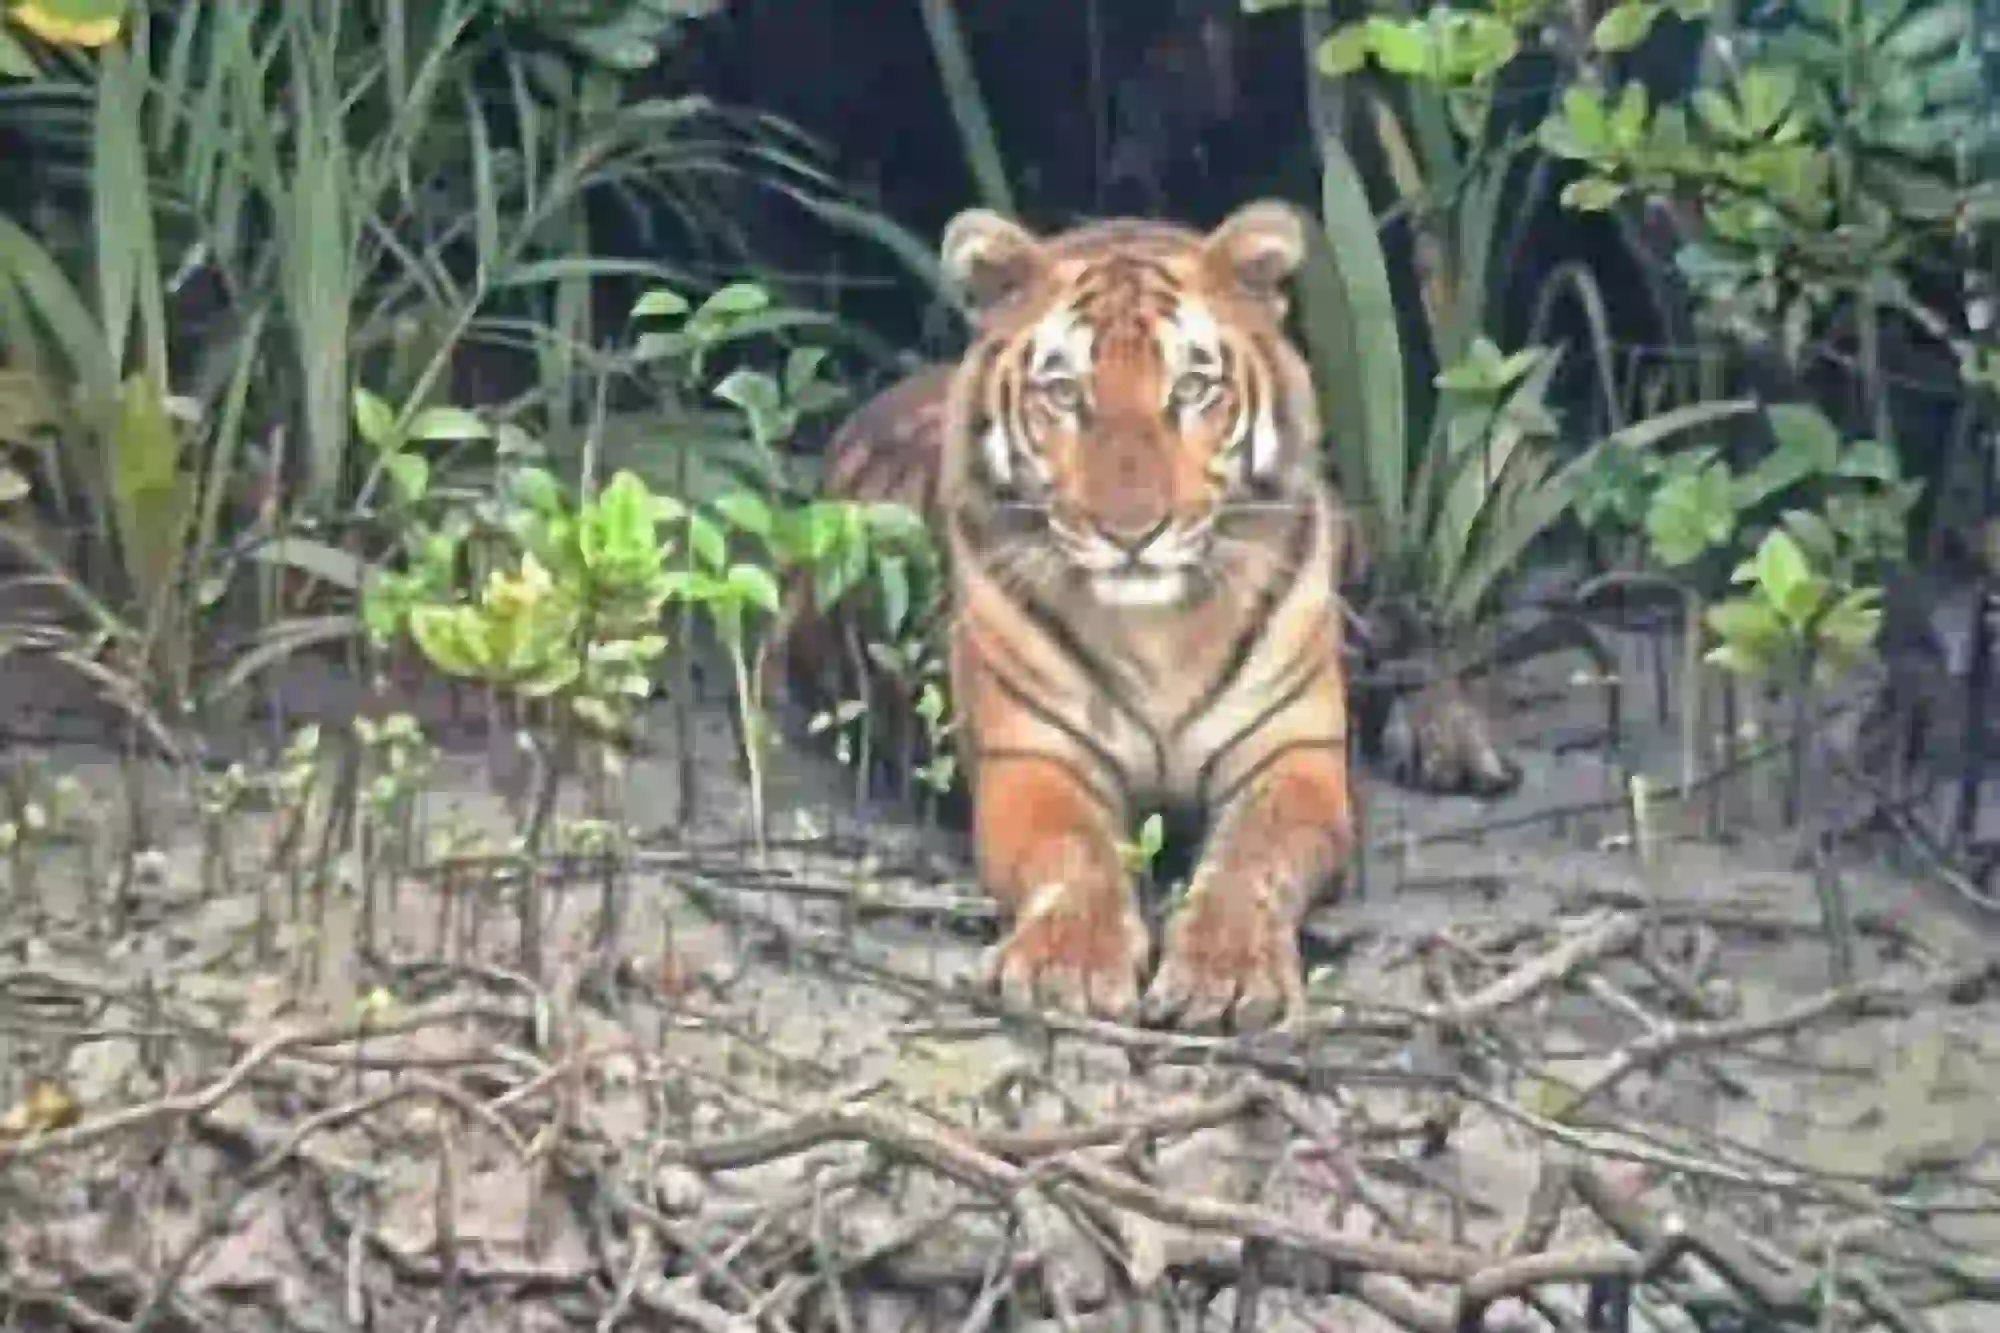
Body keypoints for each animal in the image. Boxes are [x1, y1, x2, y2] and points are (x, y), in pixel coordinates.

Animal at [777, 201, 1357, 1032]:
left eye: (1191, 388)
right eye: (1064, 392)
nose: (1132, 533)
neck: (1160, 634)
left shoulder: (1294, 754)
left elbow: (1251, 860)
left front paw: (1226, 972)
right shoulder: (1034, 759)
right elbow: (1075, 854)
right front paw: (1069, 967)